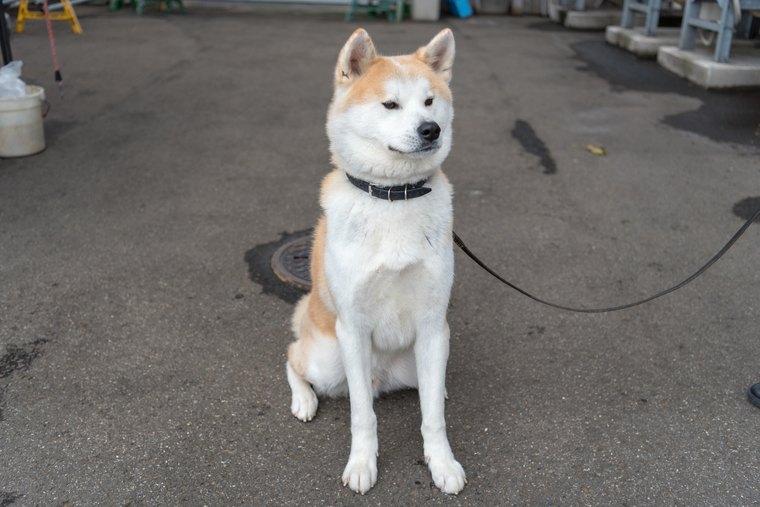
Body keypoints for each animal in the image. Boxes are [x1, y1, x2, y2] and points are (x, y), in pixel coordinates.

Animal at [284, 27, 464, 496]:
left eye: (429, 101)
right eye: (390, 104)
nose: (431, 129)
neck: (394, 197)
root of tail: (382, 377)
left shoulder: (432, 325)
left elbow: (433, 419)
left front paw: (442, 463)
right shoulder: (354, 326)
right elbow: (363, 416)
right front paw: (363, 464)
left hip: (421, 357)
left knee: (430, 388)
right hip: (328, 360)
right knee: (293, 358)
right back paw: (303, 399)